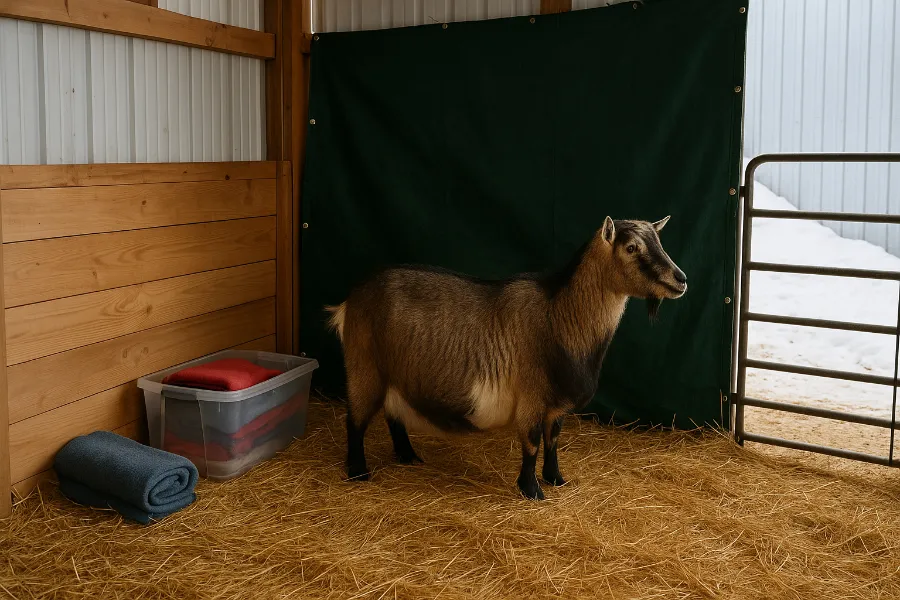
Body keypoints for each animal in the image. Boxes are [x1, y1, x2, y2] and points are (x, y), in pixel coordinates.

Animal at [326, 216, 687, 499]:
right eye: (632, 248)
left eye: (659, 242)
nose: (681, 279)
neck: (558, 316)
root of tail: (349, 302)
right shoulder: (531, 395)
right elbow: (531, 442)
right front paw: (532, 491)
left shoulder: (555, 405)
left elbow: (553, 440)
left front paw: (557, 479)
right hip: (364, 366)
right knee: (355, 419)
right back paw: (358, 471)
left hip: (397, 373)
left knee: (394, 412)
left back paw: (407, 456)